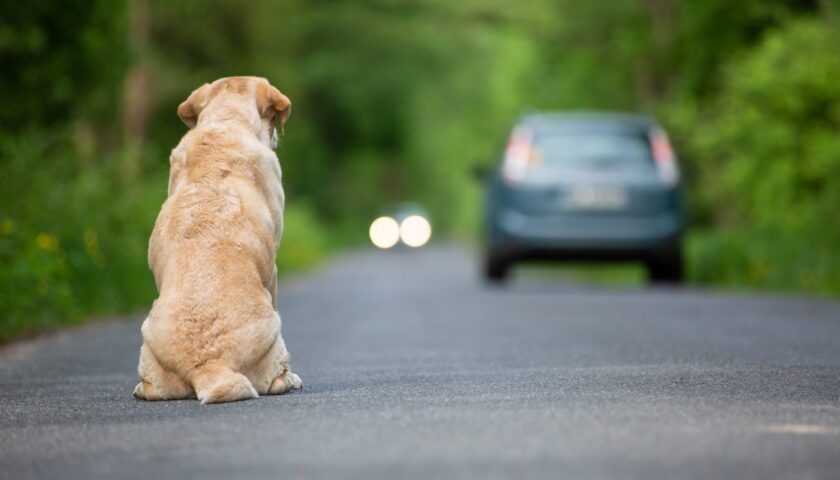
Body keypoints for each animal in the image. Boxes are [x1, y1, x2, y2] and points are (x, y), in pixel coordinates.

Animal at [131, 77, 302, 404]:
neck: (226, 122)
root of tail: (209, 364)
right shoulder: (272, 270)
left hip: (148, 341)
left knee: (150, 388)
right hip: (274, 331)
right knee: (276, 378)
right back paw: (290, 379)